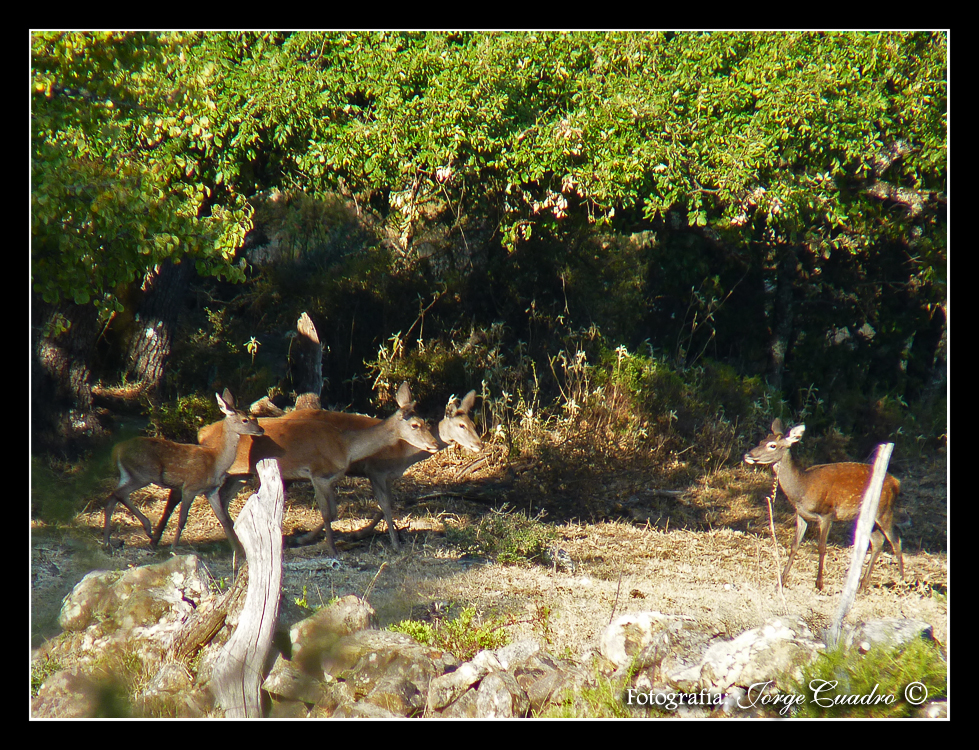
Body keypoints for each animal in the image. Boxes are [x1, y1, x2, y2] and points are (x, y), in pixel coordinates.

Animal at [103, 389, 264, 555]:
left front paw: (238, 552)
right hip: (142, 474)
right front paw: (174, 548)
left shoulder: (211, 490)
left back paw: (107, 542)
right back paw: (146, 529)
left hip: (127, 474)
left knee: (111, 498)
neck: (216, 461)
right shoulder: (189, 487)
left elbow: (224, 520)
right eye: (245, 420)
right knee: (119, 494)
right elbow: (182, 519)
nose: (261, 430)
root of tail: (117, 449)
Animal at [157, 382, 439, 556]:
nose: (435, 444)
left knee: (220, 499)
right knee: (187, 492)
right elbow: (327, 512)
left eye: (427, 421)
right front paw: (331, 549)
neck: (345, 446)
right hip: (225, 468)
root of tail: (202, 431)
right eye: (415, 425)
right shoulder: (317, 473)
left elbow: (334, 511)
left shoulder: (331, 478)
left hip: (241, 475)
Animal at [275, 390, 483, 550]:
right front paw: (391, 542)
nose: (479, 445)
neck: (404, 453)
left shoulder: (388, 475)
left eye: (473, 424)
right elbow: (384, 504)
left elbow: (388, 503)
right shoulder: (375, 470)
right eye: (461, 425)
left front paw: (360, 533)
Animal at [744, 418, 904, 591]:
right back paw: (863, 585)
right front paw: (781, 581)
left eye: (772, 445)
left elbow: (821, 547)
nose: (748, 455)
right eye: (762, 441)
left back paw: (902, 582)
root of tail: (896, 482)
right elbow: (794, 545)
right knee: (878, 541)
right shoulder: (801, 514)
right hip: (869, 516)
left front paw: (819, 584)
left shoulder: (827, 513)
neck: (802, 489)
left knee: (896, 541)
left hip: (884, 510)